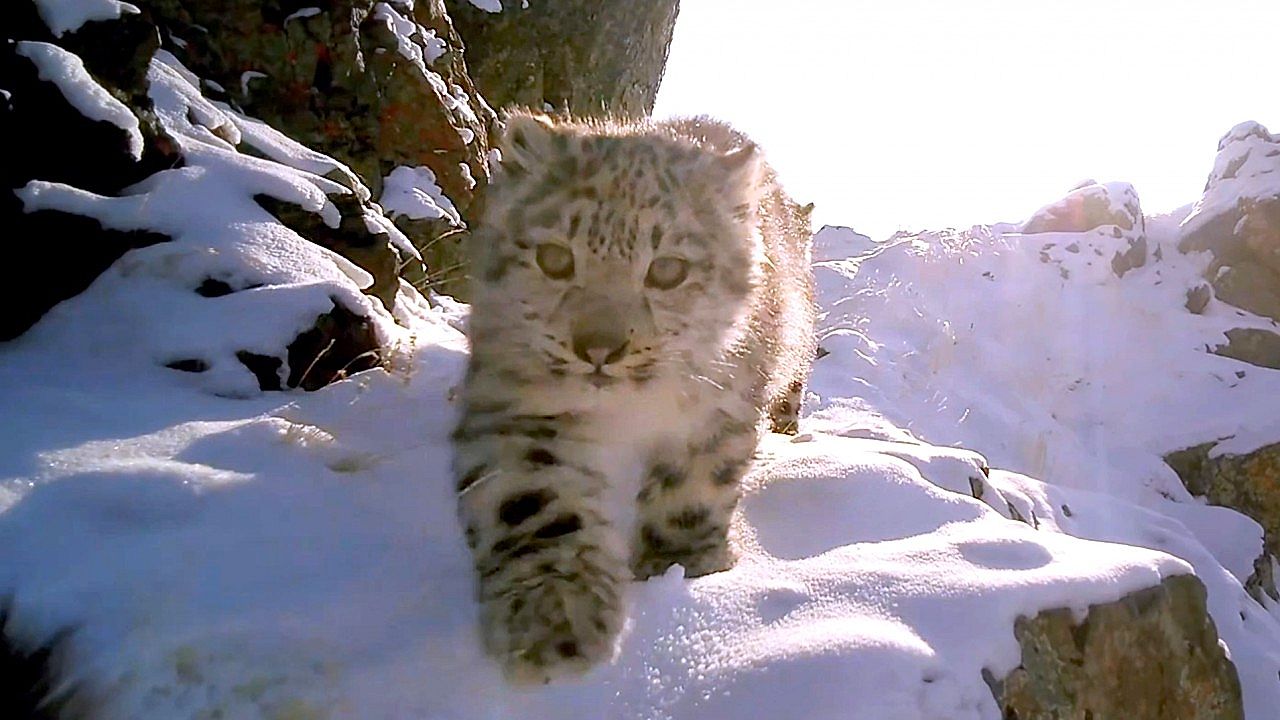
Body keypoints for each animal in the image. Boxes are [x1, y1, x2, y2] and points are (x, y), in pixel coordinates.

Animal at [451, 110, 816, 684]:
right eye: (555, 259)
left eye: (668, 269)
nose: (599, 347)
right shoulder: (512, 405)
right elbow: (532, 499)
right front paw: (553, 618)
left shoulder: (720, 409)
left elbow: (695, 485)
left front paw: (683, 564)